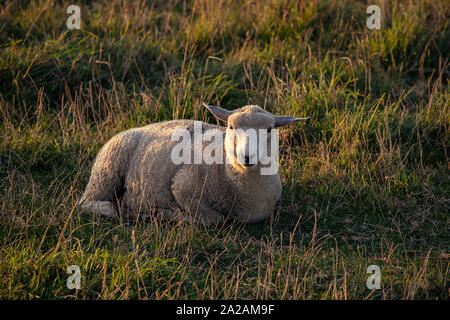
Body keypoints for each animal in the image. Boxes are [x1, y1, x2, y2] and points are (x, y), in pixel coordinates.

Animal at [78, 104, 310, 225]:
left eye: (270, 129)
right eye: (231, 127)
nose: (247, 156)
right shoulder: (182, 187)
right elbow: (214, 219)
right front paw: (169, 215)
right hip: (107, 172)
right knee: (87, 204)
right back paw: (121, 210)